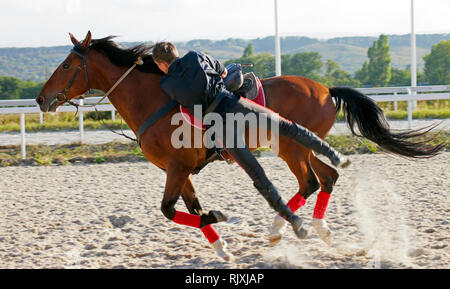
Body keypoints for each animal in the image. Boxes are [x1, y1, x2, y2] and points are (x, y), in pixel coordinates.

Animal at [35, 32, 442, 260]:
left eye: (67, 64)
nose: (41, 99)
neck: (155, 99)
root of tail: (326, 88)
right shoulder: (180, 171)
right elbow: (191, 209)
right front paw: (221, 247)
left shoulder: (177, 168)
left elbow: (171, 210)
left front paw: (220, 219)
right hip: (296, 146)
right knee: (324, 178)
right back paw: (316, 226)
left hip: (289, 149)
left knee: (309, 181)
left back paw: (285, 228)